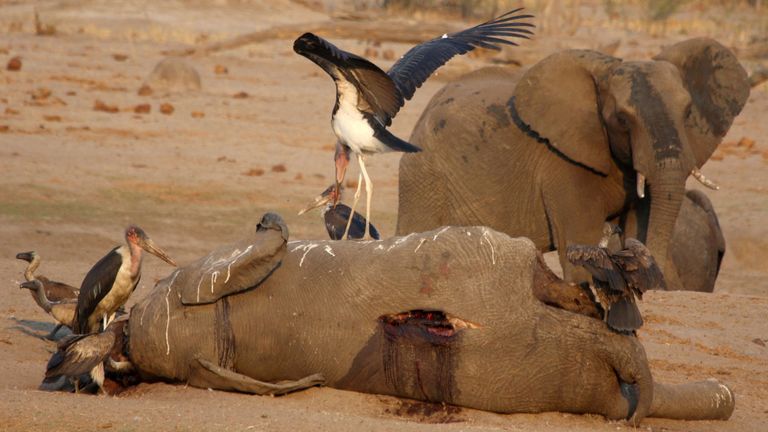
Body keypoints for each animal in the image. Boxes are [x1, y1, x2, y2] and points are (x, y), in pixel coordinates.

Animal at [396, 38, 749, 286]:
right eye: (622, 120)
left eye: (688, 113)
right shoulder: (563, 161)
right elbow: (582, 238)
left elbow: (638, 220)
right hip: (423, 176)